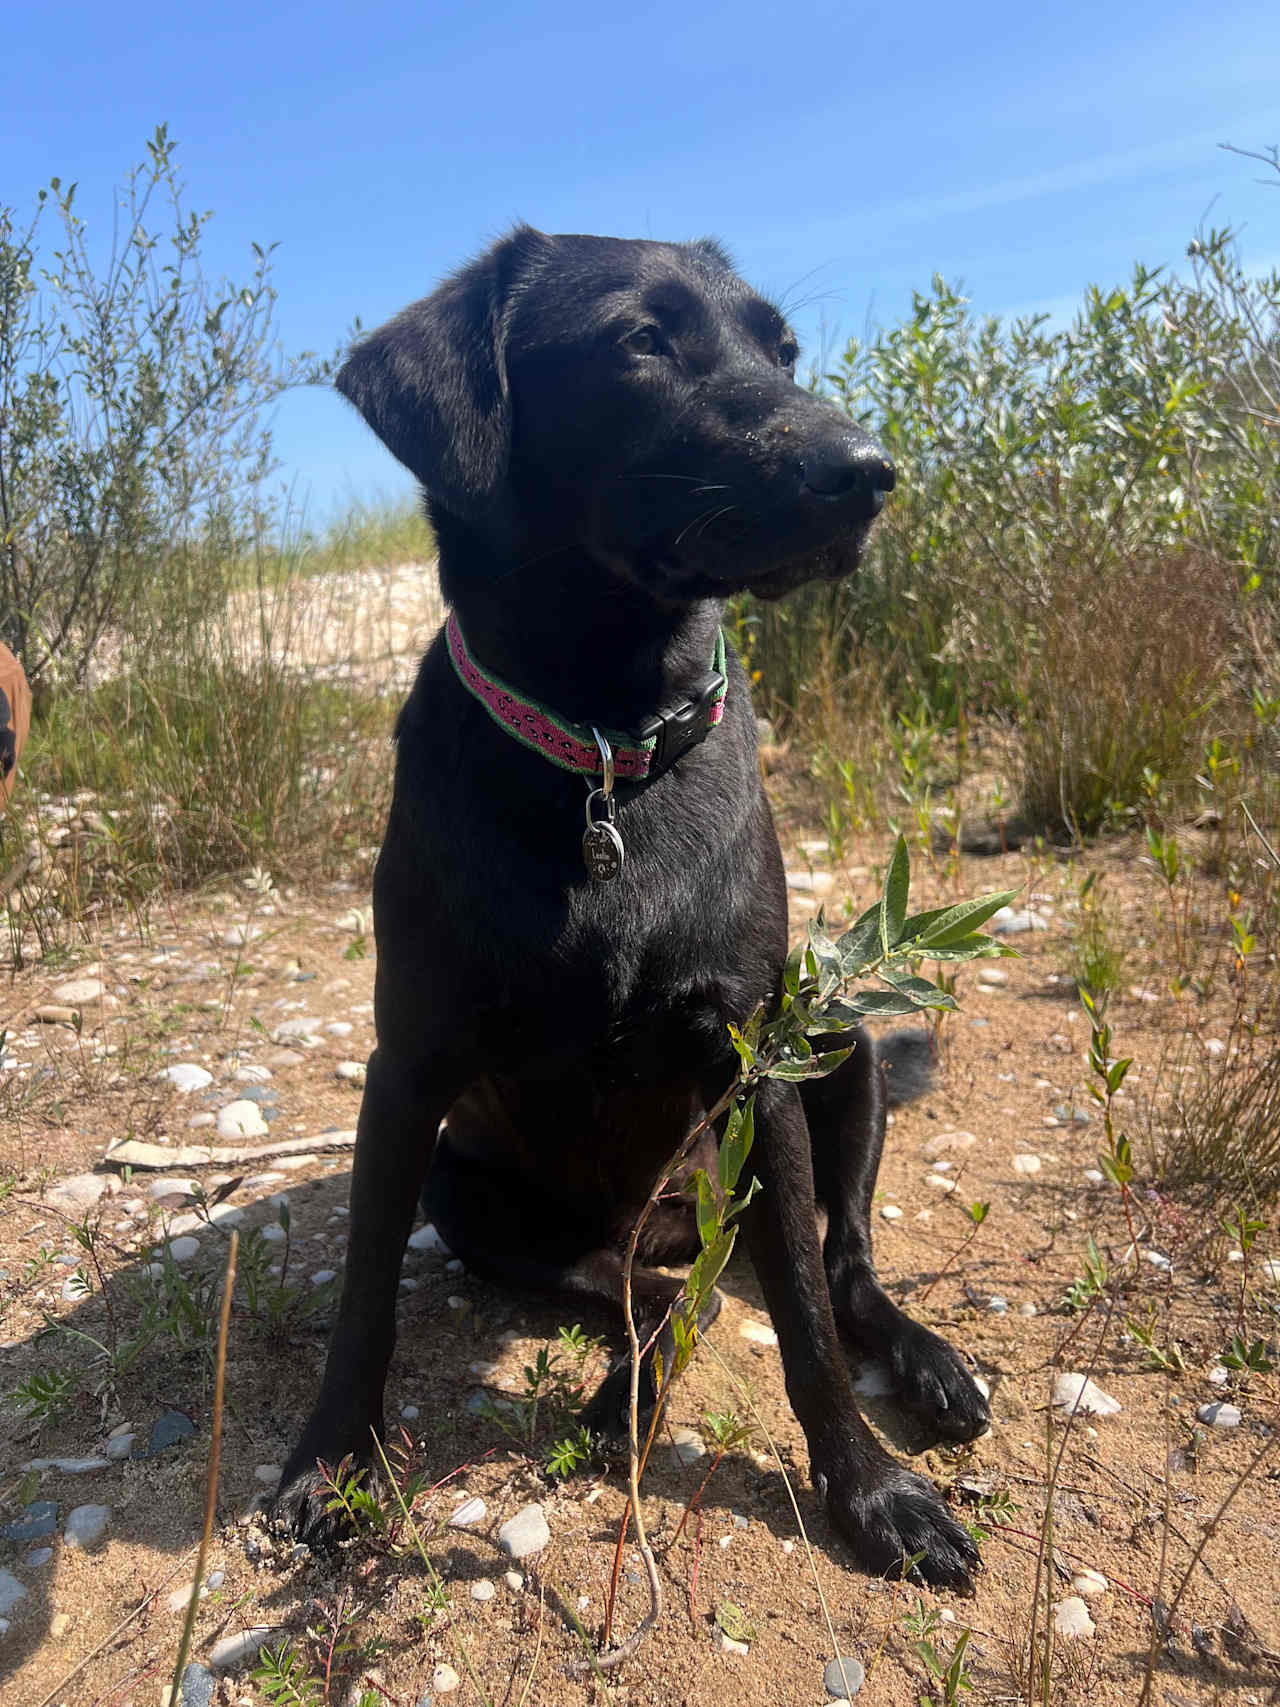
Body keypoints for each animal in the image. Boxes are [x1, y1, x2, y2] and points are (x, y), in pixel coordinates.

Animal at [276, 227, 989, 1584]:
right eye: (640, 343)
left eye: (782, 350)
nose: (868, 473)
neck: (605, 750)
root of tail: (659, 1219)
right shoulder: (404, 1075)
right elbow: (357, 1302)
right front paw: (330, 1460)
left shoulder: (757, 1061)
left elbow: (806, 1321)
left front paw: (868, 1491)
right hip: (479, 1196)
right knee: (659, 1292)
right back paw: (632, 1385)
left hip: (838, 1052)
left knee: (834, 1263)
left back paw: (920, 1363)